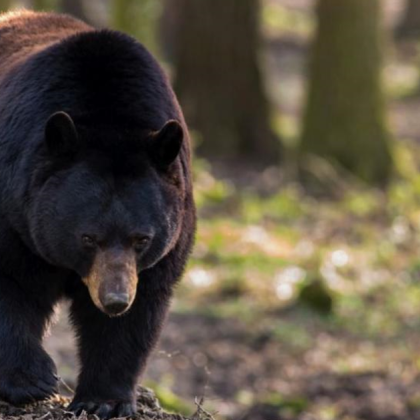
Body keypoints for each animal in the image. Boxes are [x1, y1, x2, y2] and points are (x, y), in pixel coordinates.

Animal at [0, 9, 195, 420]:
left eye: (142, 239)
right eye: (88, 236)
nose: (115, 299)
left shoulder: (165, 243)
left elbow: (133, 320)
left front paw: (103, 399)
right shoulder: (13, 210)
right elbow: (8, 281)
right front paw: (31, 379)